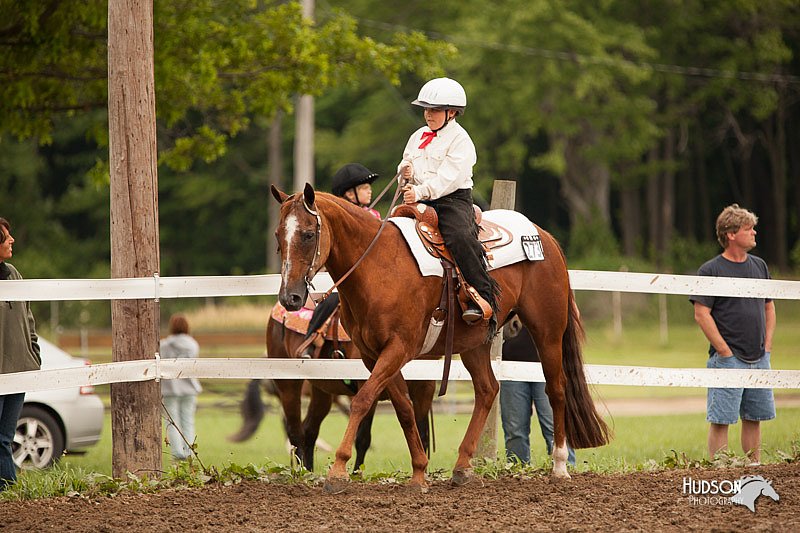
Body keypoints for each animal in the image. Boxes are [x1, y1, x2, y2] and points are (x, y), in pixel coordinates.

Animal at [228, 310, 434, 472]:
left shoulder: (424, 389)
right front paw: (356, 474)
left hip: (322, 393)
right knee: (294, 431)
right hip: (288, 387)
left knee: (309, 429)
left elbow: (422, 435)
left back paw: (309, 470)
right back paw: (301, 472)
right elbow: (363, 437)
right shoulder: (367, 386)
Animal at [272, 184, 608, 490]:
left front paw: (338, 471)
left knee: (556, 389)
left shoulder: (398, 348)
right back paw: (462, 467)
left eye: (308, 234)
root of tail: (544, 237)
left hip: (548, 330)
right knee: (488, 389)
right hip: (475, 342)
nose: (290, 297)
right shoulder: (375, 355)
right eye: (277, 235)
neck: (378, 267)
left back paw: (560, 466)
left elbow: (363, 400)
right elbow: (404, 410)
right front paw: (420, 472)